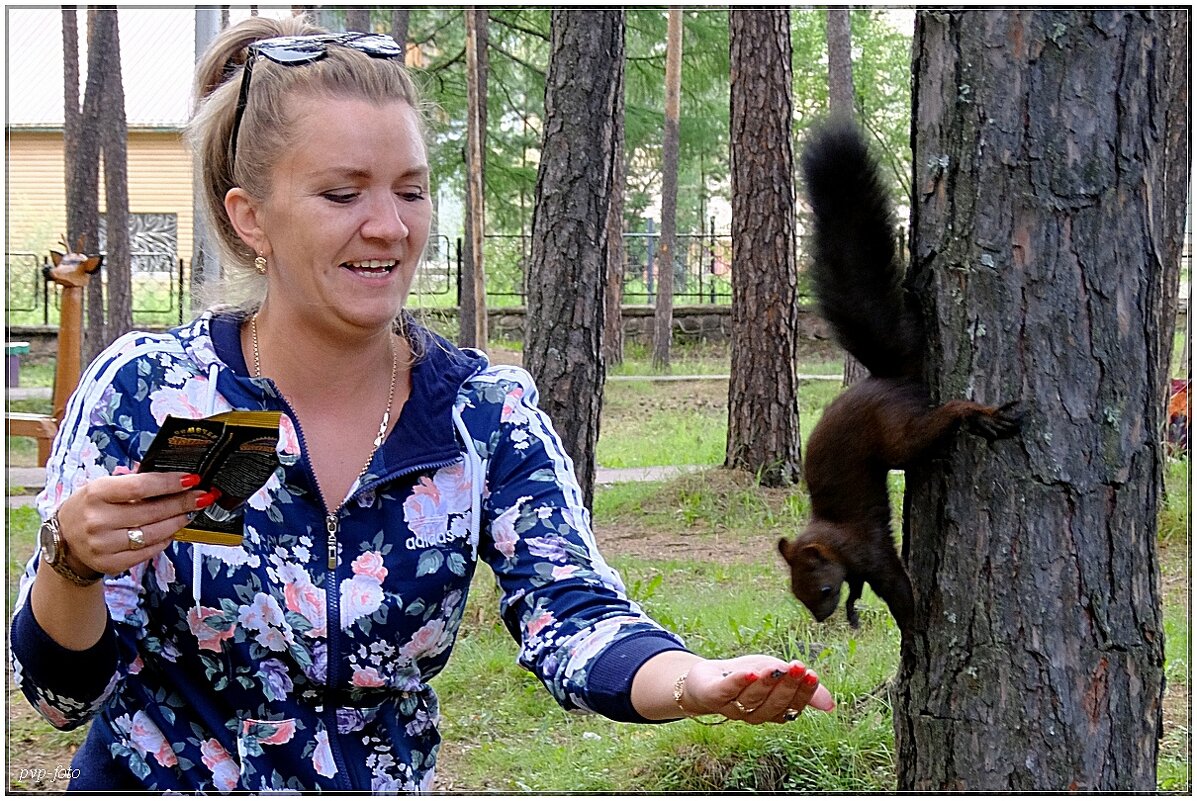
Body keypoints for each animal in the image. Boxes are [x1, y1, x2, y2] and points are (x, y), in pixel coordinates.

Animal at [780, 120, 1024, 632]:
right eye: (797, 594)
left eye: (821, 589)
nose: (821, 617)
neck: (828, 535)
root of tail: (888, 379)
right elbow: (861, 587)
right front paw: (856, 607)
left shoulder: (866, 549)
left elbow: (892, 584)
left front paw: (912, 627)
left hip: (897, 433)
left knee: (934, 424)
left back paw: (977, 413)